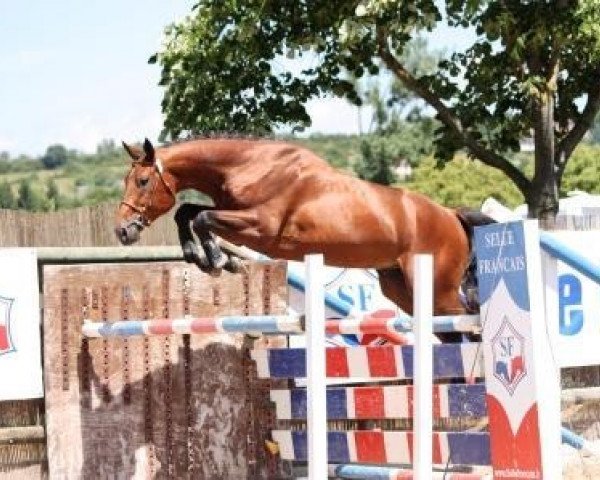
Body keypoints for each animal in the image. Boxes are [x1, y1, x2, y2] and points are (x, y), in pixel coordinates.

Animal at [115, 137, 494, 316]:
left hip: (438, 290)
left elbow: (200, 217)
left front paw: (219, 260)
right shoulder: (233, 213)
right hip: (403, 289)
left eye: (143, 181)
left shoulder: (260, 229)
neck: (248, 166)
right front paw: (200, 257)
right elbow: (186, 212)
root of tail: (450, 215)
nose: (122, 231)